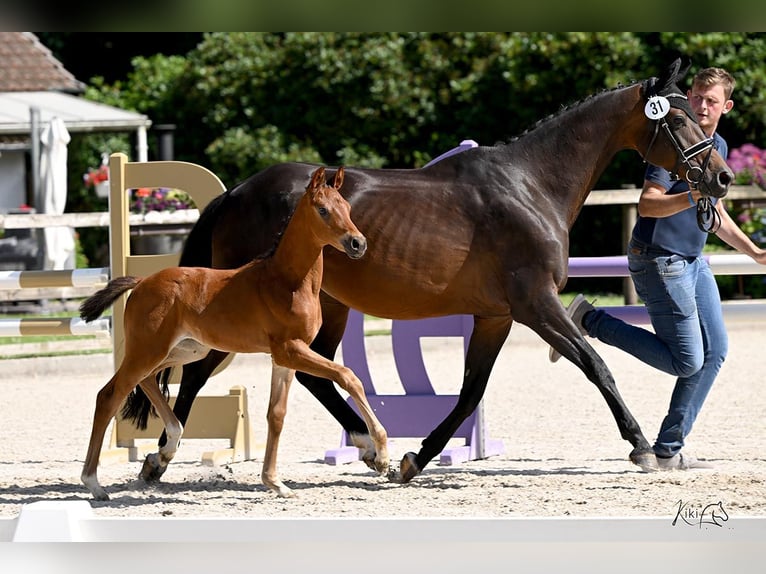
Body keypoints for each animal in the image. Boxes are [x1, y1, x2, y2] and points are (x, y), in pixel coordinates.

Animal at [80, 166, 390, 500]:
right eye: (323, 210)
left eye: (346, 208)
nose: (358, 243)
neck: (287, 281)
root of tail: (140, 282)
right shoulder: (291, 349)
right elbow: (348, 376)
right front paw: (382, 455)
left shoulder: (284, 358)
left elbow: (276, 415)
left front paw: (275, 482)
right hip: (148, 350)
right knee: (109, 395)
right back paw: (93, 482)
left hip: (184, 349)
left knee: (147, 380)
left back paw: (171, 439)